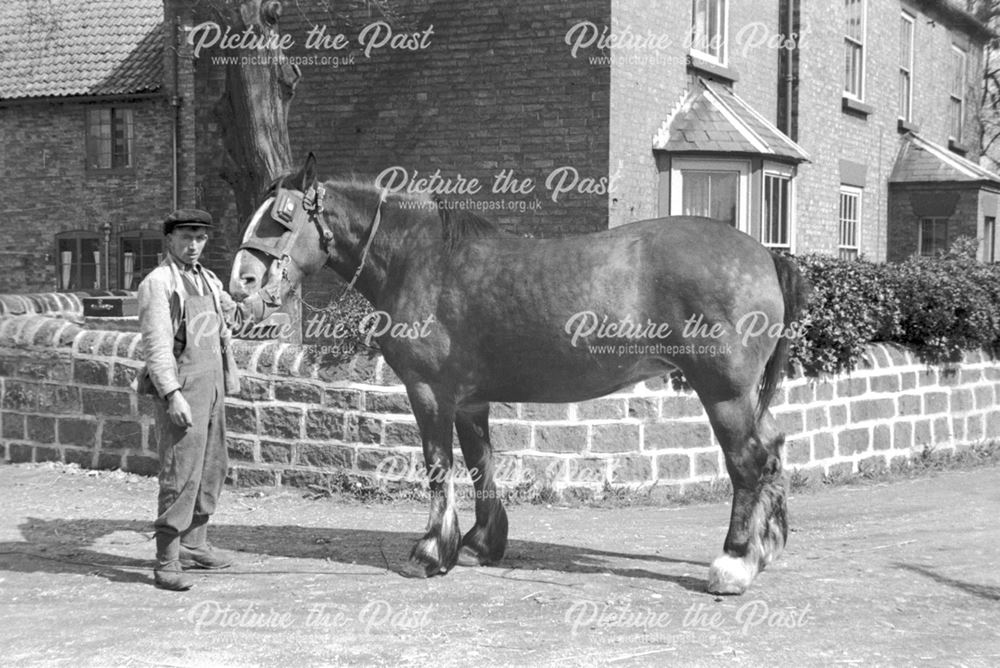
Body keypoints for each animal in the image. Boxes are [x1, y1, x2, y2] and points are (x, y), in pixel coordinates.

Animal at [230, 154, 808, 592]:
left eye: (282, 217)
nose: (241, 282)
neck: (421, 261)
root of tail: (765, 255)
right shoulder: (468, 398)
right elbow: (480, 464)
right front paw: (480, 545)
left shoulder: (429, 391)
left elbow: (439, 466)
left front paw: (430, 552)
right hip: (744, 396)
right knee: (773, 450)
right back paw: (767, 547)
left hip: (724, 393)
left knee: (748, 464)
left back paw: (734, 563)